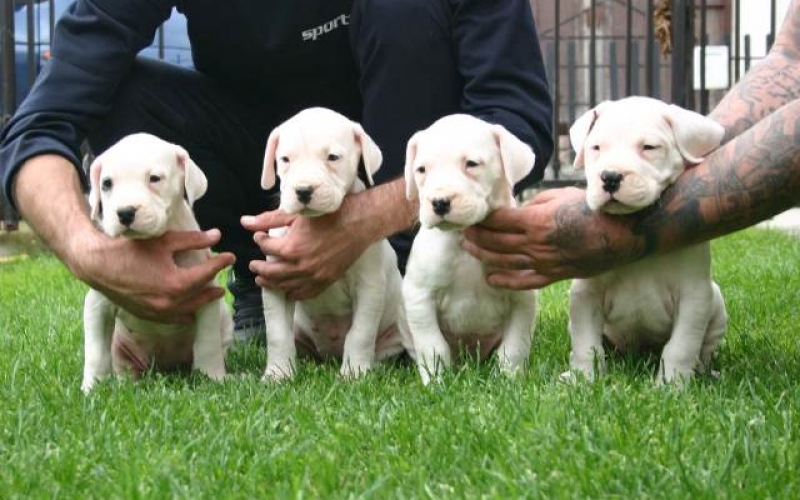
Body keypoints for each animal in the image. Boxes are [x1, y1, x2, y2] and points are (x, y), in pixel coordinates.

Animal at [81, 133, 231, 394]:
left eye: (154, 178)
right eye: (107, 183)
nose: (125, 213)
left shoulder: (207, 296)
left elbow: (207, 343)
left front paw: (213, 378)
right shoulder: (97, 303)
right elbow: (96, 351)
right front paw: (90, 389)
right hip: (122, 348)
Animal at [260, 105, 412, 378]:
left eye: (332, 157)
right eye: (285, 159)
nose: (303, 190)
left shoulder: (369, 286)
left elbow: (360, 333)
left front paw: (355, 373)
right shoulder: (274, 281)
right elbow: (277, 334)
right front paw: (277, 374)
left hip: (394, 333)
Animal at [406, 115, 536, 384]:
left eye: (472, 164)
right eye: (421, 170)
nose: (439, 202)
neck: (461, 237)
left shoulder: (522, 297)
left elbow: (514, 346)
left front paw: (509, 379)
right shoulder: (419, 296)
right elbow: (433, 346)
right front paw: (435, 383)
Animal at [564, 96, 728, 386]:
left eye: (649, 147)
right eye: (596, 147)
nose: (610, 176)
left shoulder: (694, 296)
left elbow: (682, 345)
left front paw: (671, 385)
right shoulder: (585, 293)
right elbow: (586, 344)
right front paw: (584, 379)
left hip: (715, 302)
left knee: (705, 348)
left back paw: (706, 372)